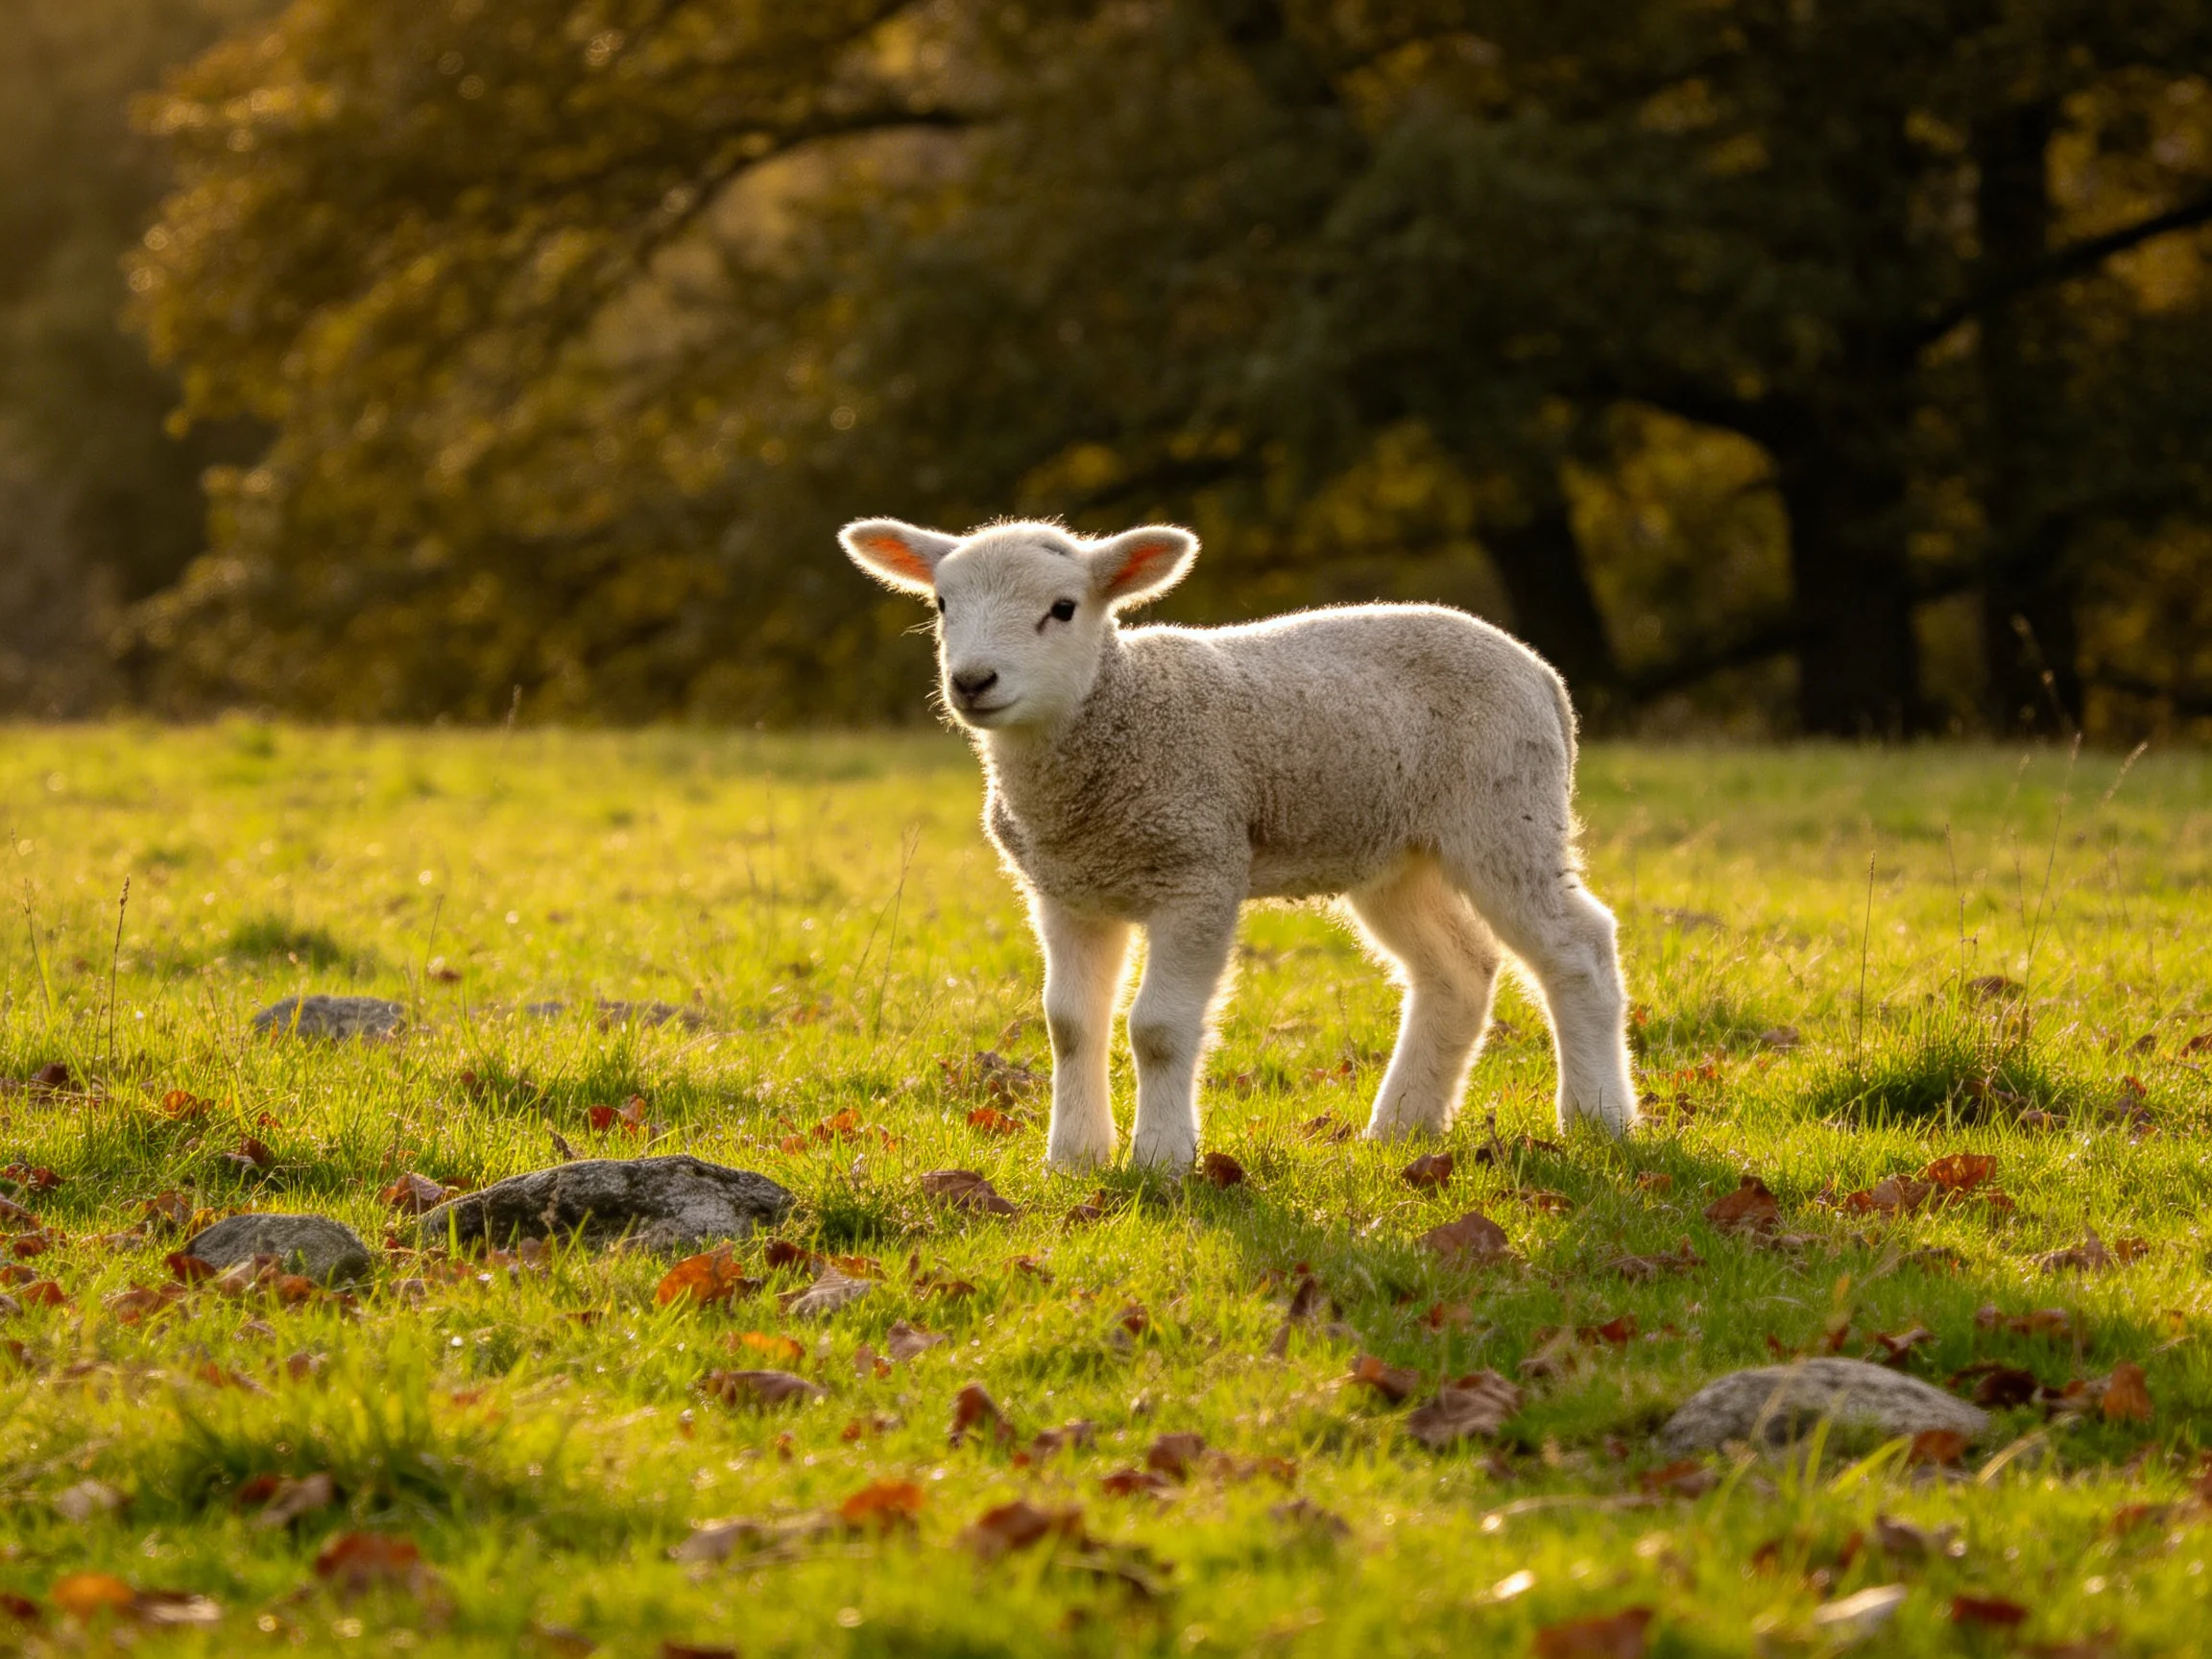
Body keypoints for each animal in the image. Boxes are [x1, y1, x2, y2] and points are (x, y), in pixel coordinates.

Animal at [840, 516, 1638, 1170]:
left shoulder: (1200, 868)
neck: (1116, 718)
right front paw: (1073, 1161)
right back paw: (1401, 1128)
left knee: (1578, 949)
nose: (973, 681)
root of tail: (1540, 672)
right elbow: (1069, 1025)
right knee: (1458, 969)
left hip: (1505, 809)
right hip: (1394, 852)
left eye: (1063, 609)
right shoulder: (1066, 890)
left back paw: (1597, 1119)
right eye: (942, 605)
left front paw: (1160, 1162)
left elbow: (1159, 1028)